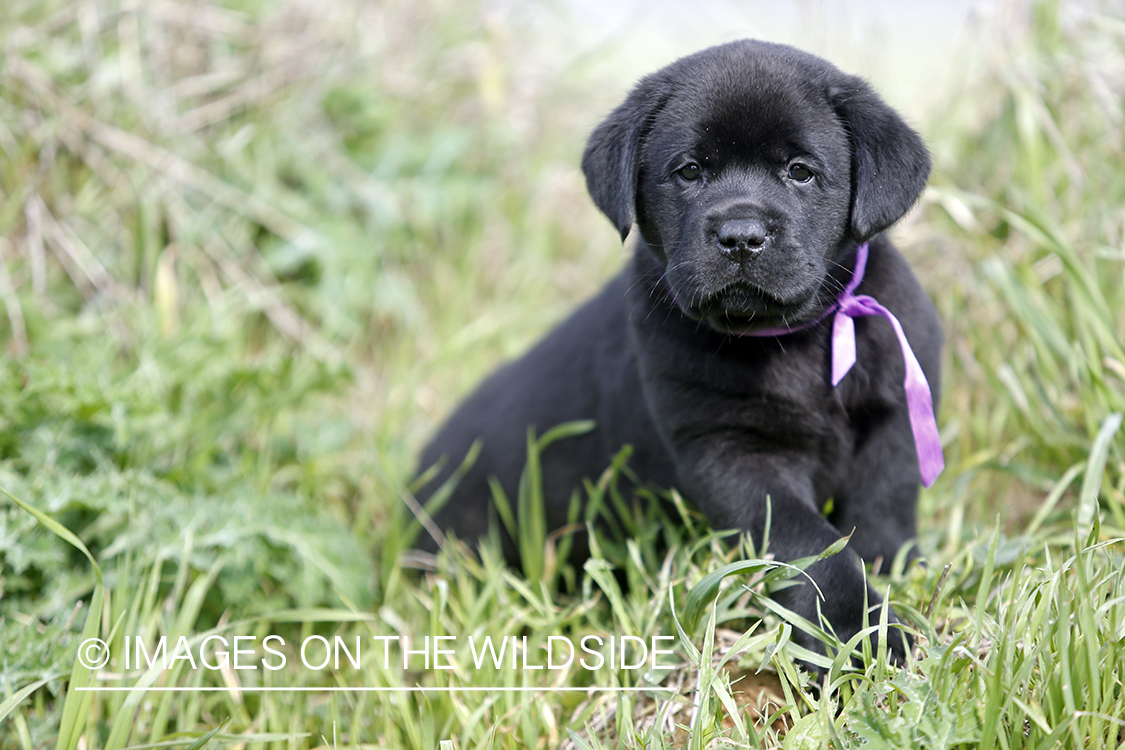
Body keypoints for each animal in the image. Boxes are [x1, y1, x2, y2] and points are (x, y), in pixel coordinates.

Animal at [411, 41, 940, 661]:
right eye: (689, 171)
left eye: (800, 172)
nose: (741, 236)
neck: (793, 339)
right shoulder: (732, 450)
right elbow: (811, 546)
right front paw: (859, 632)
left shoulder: (895, 415)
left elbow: (884, 506)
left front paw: (889, 585)